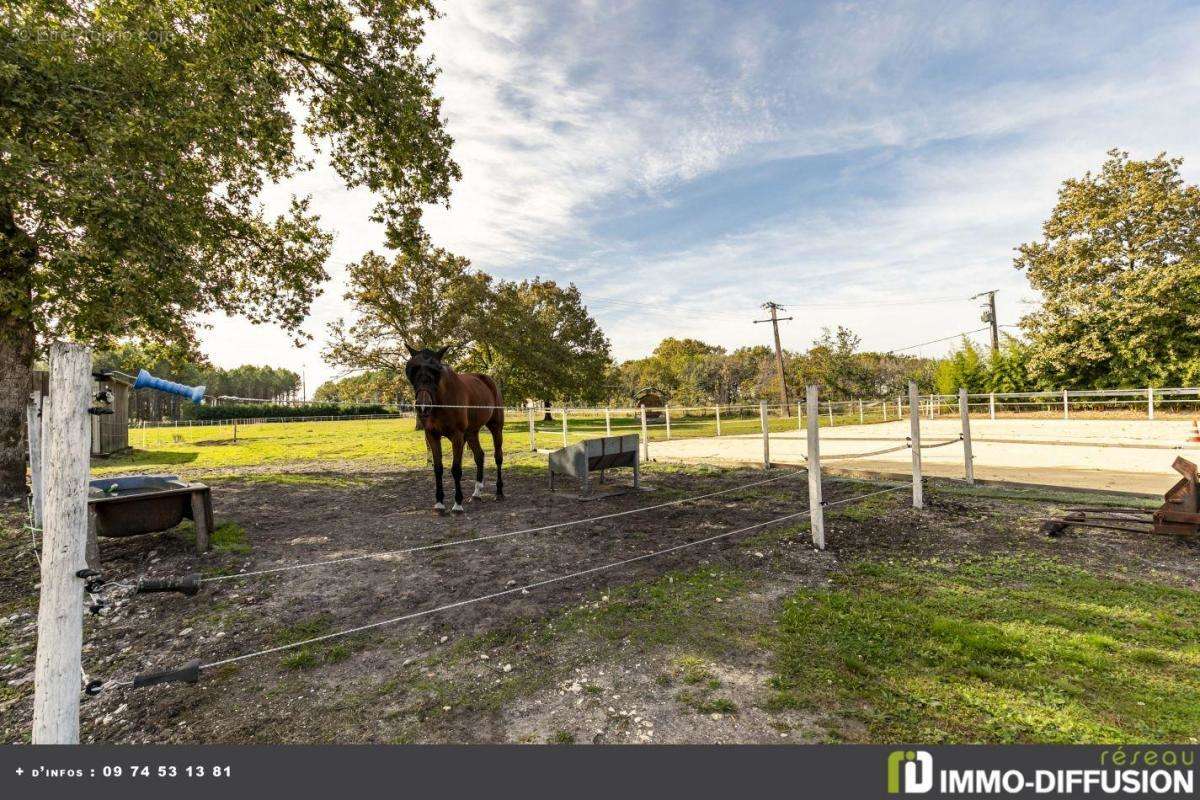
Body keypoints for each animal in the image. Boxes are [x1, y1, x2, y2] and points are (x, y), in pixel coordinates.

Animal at [400, 345, 499, 513]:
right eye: (412, 369)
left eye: (436, 371)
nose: (423, 407)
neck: (442, 402)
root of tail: (487, 380)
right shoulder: (432, 435)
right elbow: (438, 468)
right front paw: (439, 502)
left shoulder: (457, 436)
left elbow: (456, 469)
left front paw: (457, 504)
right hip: (471, 433)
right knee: (479, 456)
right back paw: (477, 493)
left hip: (496, 426)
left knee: (498, 456)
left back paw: (499, 492)